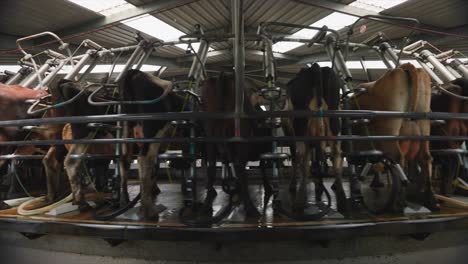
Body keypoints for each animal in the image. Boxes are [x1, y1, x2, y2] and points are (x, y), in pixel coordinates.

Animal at [284, 64, 346, 214]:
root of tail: (316, 67)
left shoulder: (290, 135)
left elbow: (296, 158)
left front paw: (293, 185)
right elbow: (316, 159)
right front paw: (319, 184)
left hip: (300, 126)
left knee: (302, 159)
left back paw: (299, 201)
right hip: (335, 123)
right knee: (336, 155)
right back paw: (342, 200)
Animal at [350, 62, 436, 210]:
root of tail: (402, 68)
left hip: (390, 130)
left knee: (397, 157)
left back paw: (398, 202)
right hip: (424, 126)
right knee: (425, 157)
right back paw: (430, 199)